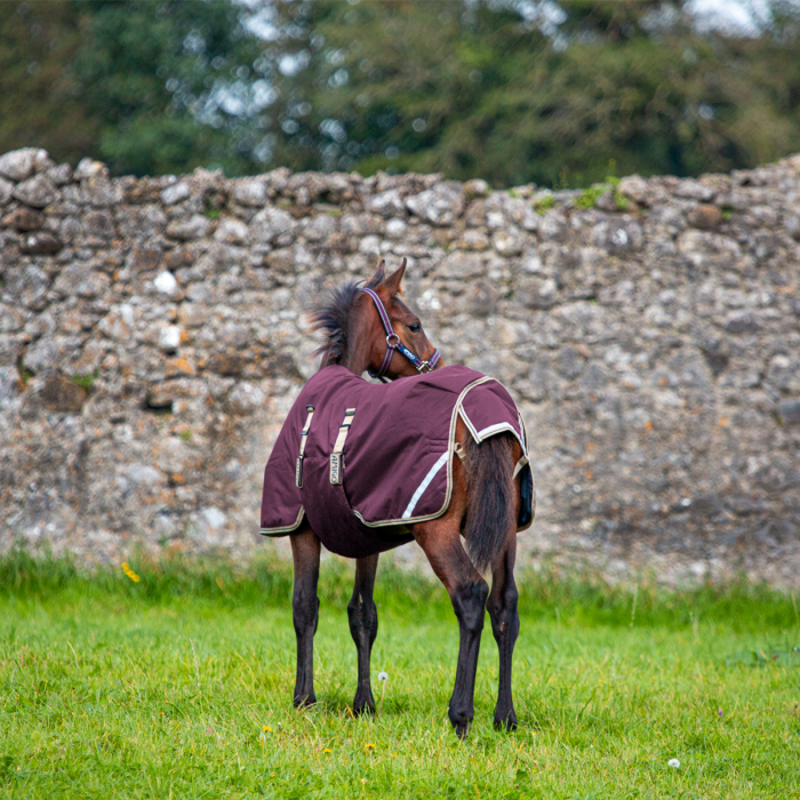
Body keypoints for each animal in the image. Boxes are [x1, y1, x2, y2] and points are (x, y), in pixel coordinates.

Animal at [262, 259, 532, 738]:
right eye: (415, 324)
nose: (435, 363)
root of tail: (487, 419)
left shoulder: (301, 530)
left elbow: (304, 607)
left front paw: (304, 699)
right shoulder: (367, 533)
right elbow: (362, 614)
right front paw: (363, 704)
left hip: (437, 533)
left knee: (470, 595)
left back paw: (461, 715)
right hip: (505, 534)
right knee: (505, 606)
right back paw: (505, 716)